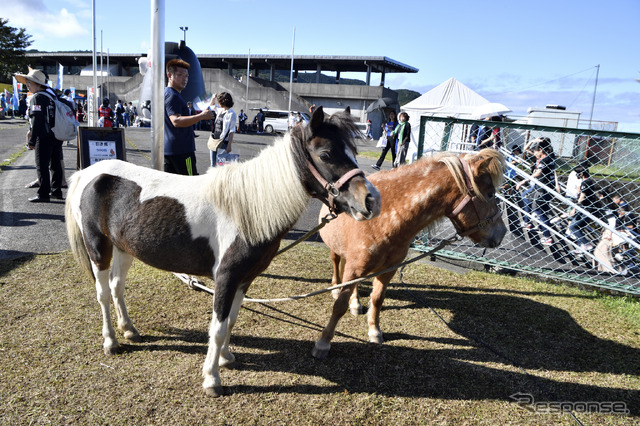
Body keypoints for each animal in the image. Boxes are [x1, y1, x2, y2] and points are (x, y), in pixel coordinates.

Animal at [66, 106, 380, 396]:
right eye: (326, 154)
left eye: (353, 152)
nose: (371, 200)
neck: (247, 208)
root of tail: (88, 173)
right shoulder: (226, 278)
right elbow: (217, 329)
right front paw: (212, 379)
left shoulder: (244, 279)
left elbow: (231, 321)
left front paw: (227, 358)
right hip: (99, 248)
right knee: (103, 293)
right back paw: (111, 341)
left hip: (124, 248)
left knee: (117, 288)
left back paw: (129, 330)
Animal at [312, 148, 508, 358]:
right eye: (490, 194)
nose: (502, 233)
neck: (384, 220)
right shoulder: (355, 268)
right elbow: (339, 305)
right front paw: (323, 343)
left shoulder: (388, 270)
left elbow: (377, 300)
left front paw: (374, 331)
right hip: (336, 249)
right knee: (335, 264)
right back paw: (336, 288)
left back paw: (355, 303)